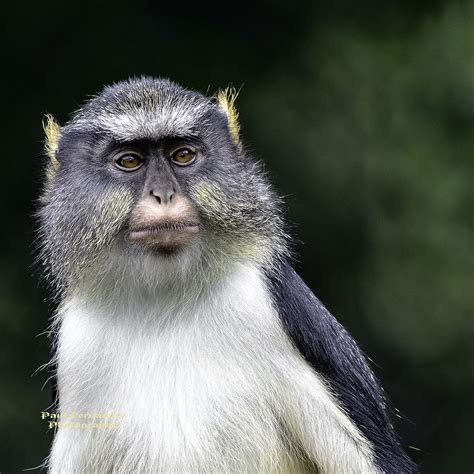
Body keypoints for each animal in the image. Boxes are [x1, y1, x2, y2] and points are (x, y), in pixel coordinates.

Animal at [39, 78, 416, 474]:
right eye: (129, 161)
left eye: (182, 156)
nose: (163, 194)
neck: (164, 299)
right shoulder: (75, 345)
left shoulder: (276, 304)